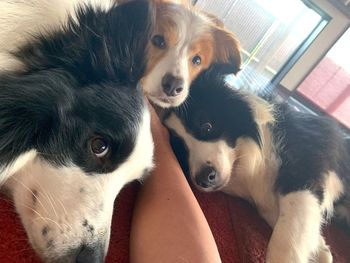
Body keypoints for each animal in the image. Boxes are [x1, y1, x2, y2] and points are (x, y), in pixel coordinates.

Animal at [164, 66, 350, 263]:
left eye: (206, 126)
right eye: (181, 150)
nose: (204, 178)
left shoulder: (304, 169)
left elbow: (285, 238)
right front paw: (321, 249)